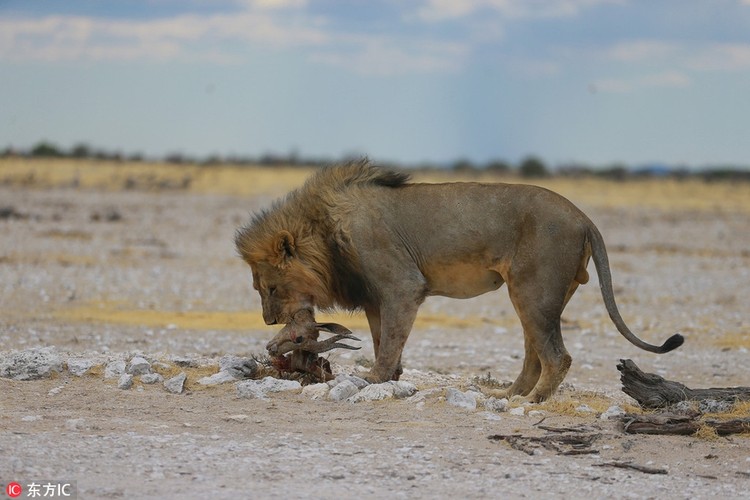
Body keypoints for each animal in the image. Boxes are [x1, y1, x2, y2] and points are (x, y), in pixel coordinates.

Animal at [236, 160, 688, 402]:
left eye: (270, 288)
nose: (269, 323)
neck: (326, 232)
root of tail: (583, 216)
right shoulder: (376, 297)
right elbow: (383, 338)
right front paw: (391, 375)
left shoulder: (401, 285)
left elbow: (391, 339)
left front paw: (373, 380)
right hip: (535, 294)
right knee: (535, 352)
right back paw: (508, 395)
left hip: (534, 289)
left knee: (557, 356)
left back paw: (532, 403)